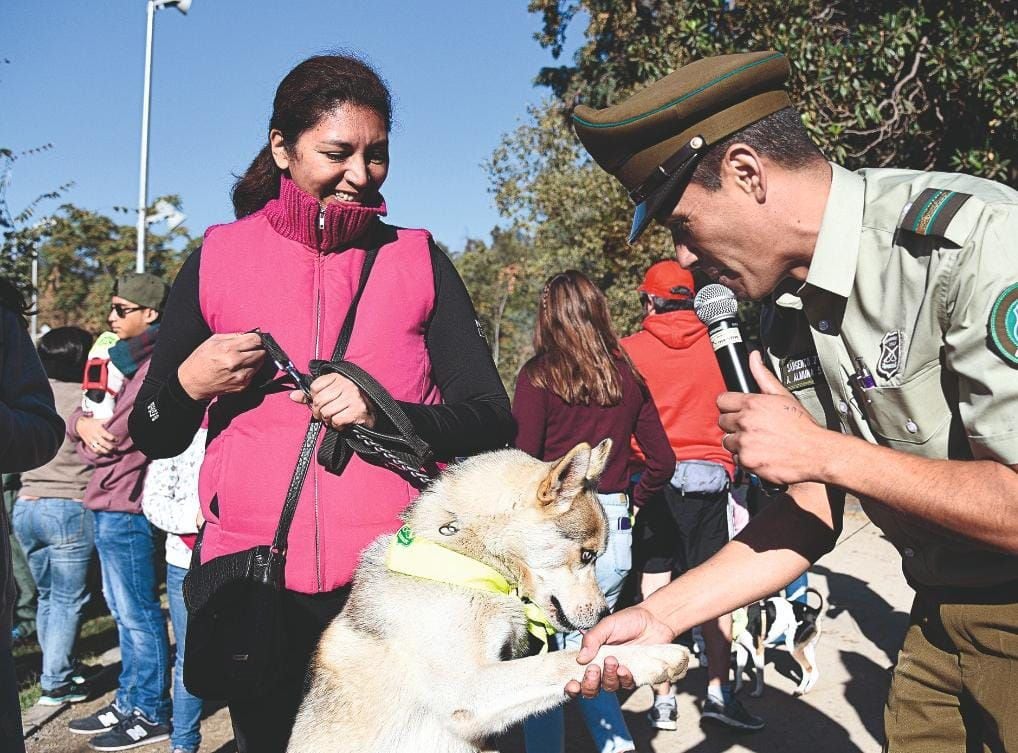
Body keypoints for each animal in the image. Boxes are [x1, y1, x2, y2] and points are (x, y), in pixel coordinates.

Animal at [291, 441, 696, 752]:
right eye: (586, 555)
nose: (603, 615)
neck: (469, 563)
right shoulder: (468, 690)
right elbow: (560, 661)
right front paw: (655, 655)